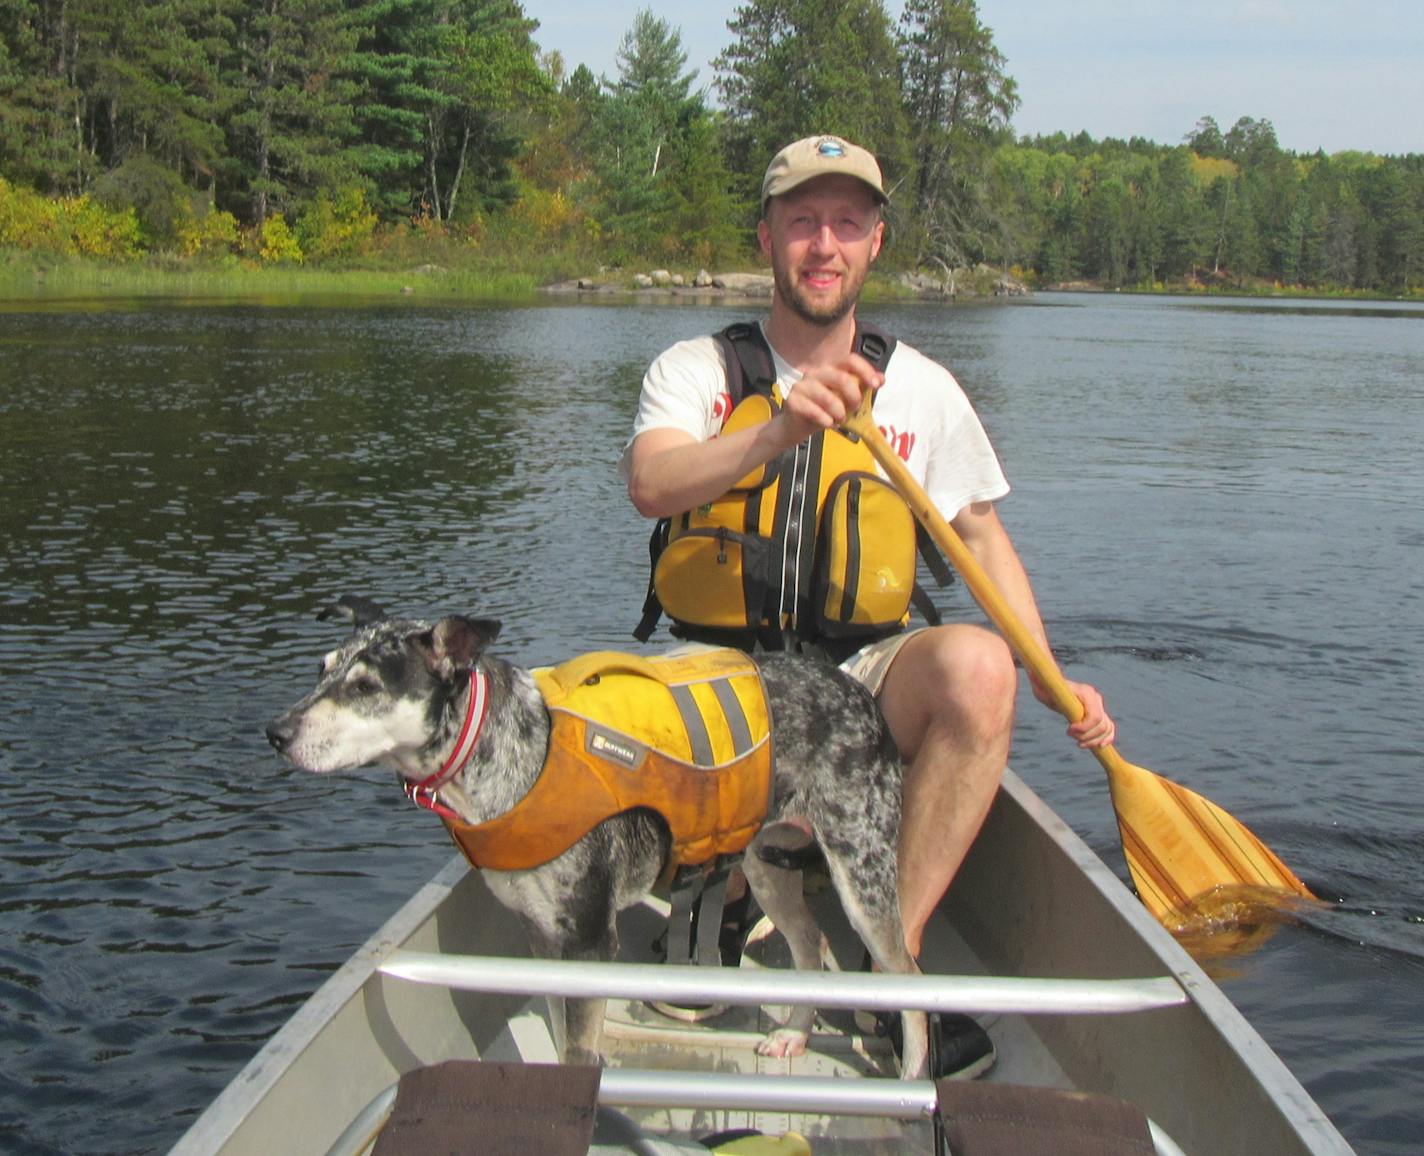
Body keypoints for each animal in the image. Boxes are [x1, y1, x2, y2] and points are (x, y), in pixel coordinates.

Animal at [267, 595, 928, 1076]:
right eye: (321, 670)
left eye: (365, 687)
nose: (275, 732)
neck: (513, 754)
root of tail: (857, 690)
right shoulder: (541, 938)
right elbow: (562, 1038)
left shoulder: (589, 941)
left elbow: (581, 1053)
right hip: (767, 867)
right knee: (809, 944)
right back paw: (793, 1033)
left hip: (862, 876)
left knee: (909, 976)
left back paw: (914, 1077)